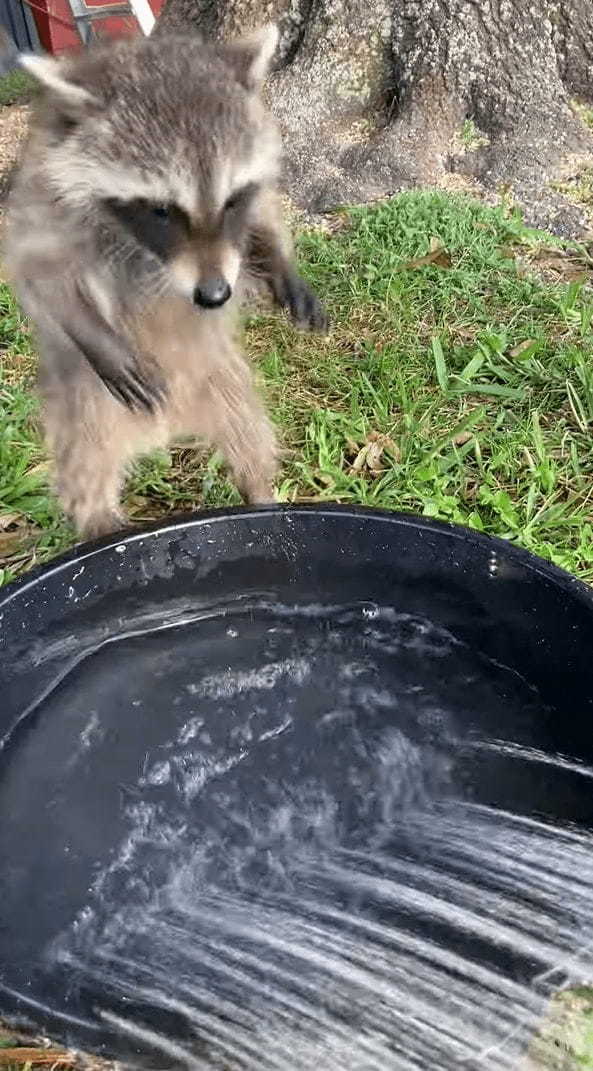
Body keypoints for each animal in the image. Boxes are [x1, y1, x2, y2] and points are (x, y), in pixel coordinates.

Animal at [2, 25, 325, 539]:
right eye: (161, 210)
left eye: (232, 199)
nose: (215, 295)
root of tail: (168, 427)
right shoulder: (41, 200)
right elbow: (40, 277)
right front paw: (97, 337)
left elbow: (263, 218)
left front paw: (281, 264)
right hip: (87, 404)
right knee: (85, 466)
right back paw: (100, 522)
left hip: (223, 379)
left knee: (250, 432)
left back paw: (259, 492)